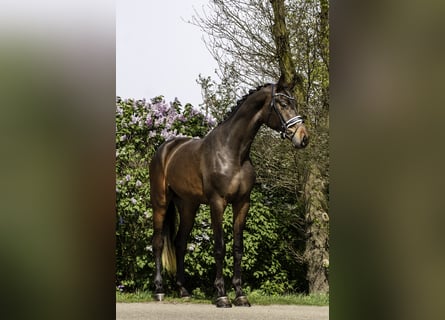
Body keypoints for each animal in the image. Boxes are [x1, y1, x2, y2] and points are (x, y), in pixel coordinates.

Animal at [151, 79, 306, 308]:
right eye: (283, 104)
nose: (303, 138)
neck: (232, 152)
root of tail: (165, 149)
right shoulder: (217, 203)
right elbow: (220, 247)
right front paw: (222, 295)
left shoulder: (242, 203)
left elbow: (238, 247)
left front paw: (240, 294)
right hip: (160, 202)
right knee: (158, 242)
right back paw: (159, 290)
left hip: (188, 206)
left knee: (180, 242)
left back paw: (183, 290)